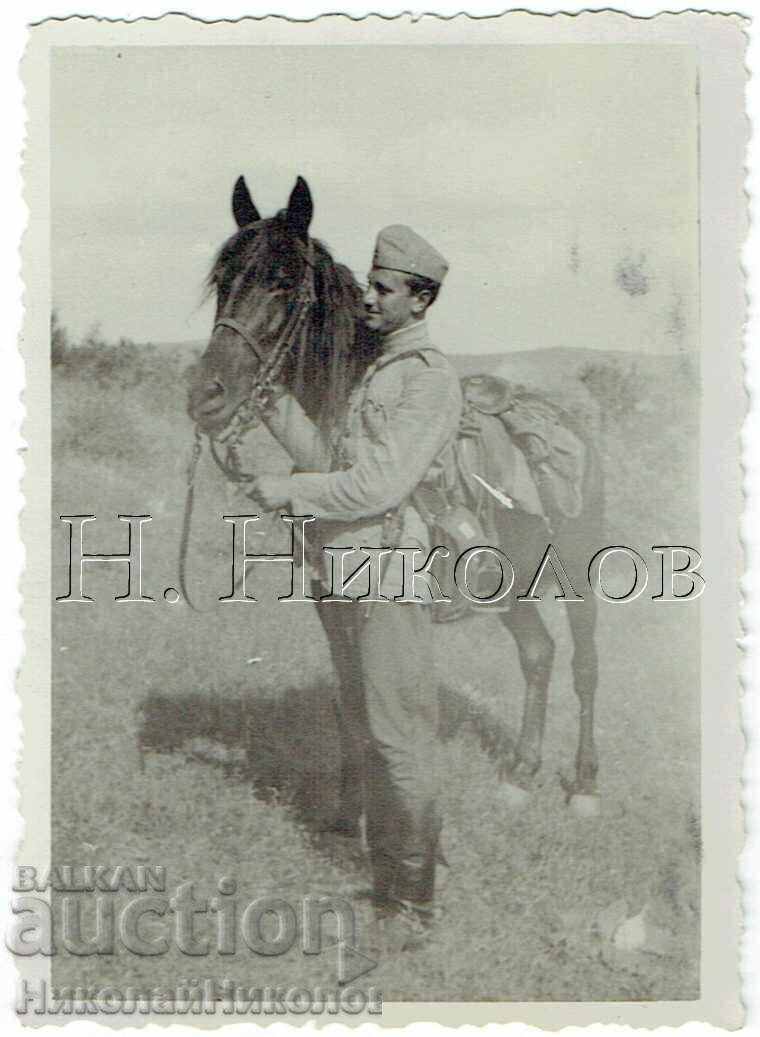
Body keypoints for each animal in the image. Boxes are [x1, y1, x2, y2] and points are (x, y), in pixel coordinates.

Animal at [186, 174, 603, 816]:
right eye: (222, 281)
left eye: (284, 282)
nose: (205, 395)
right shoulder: (331, 602)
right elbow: (353, 700)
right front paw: (348, 809)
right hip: (513, 583)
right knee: (538, 654)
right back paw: (520, 774)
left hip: (580, 571)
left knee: (585, 666)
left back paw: (583, 785)